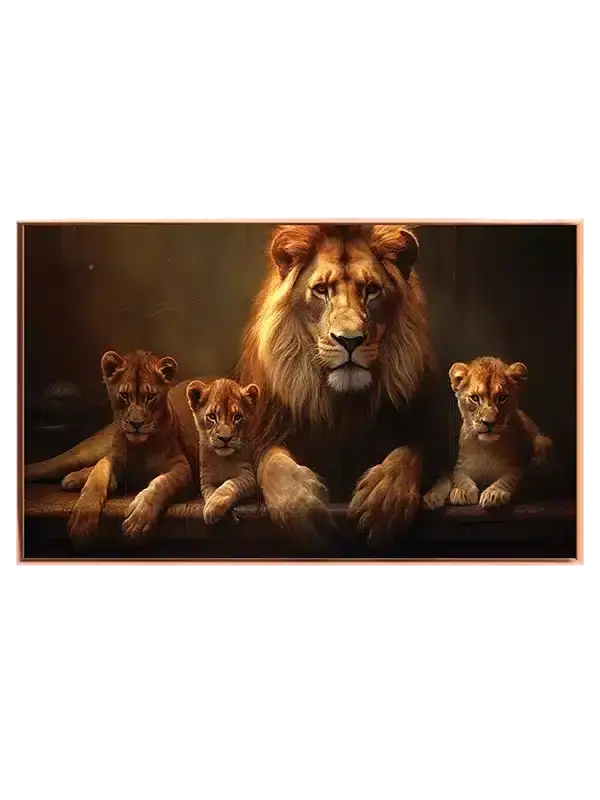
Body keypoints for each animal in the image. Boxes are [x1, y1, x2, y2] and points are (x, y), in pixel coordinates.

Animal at [186, 378, 260, 525]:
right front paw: (211, 505)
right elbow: (210, 493)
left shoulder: (248, 476)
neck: (222, 460)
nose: (225, 438)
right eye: (212, 416)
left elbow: (230, 483)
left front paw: (214, 505)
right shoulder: (206, 481)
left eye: (237, 417)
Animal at [422, 356, 554, 509]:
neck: (486, 447)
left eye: (502, 397)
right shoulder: (462, 466)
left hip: (542, 440)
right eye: (474, 398)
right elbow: (459, 477)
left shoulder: (515, 468)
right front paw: (462, 491)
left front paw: (495, 493)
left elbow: (508, 480)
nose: (489, 422)